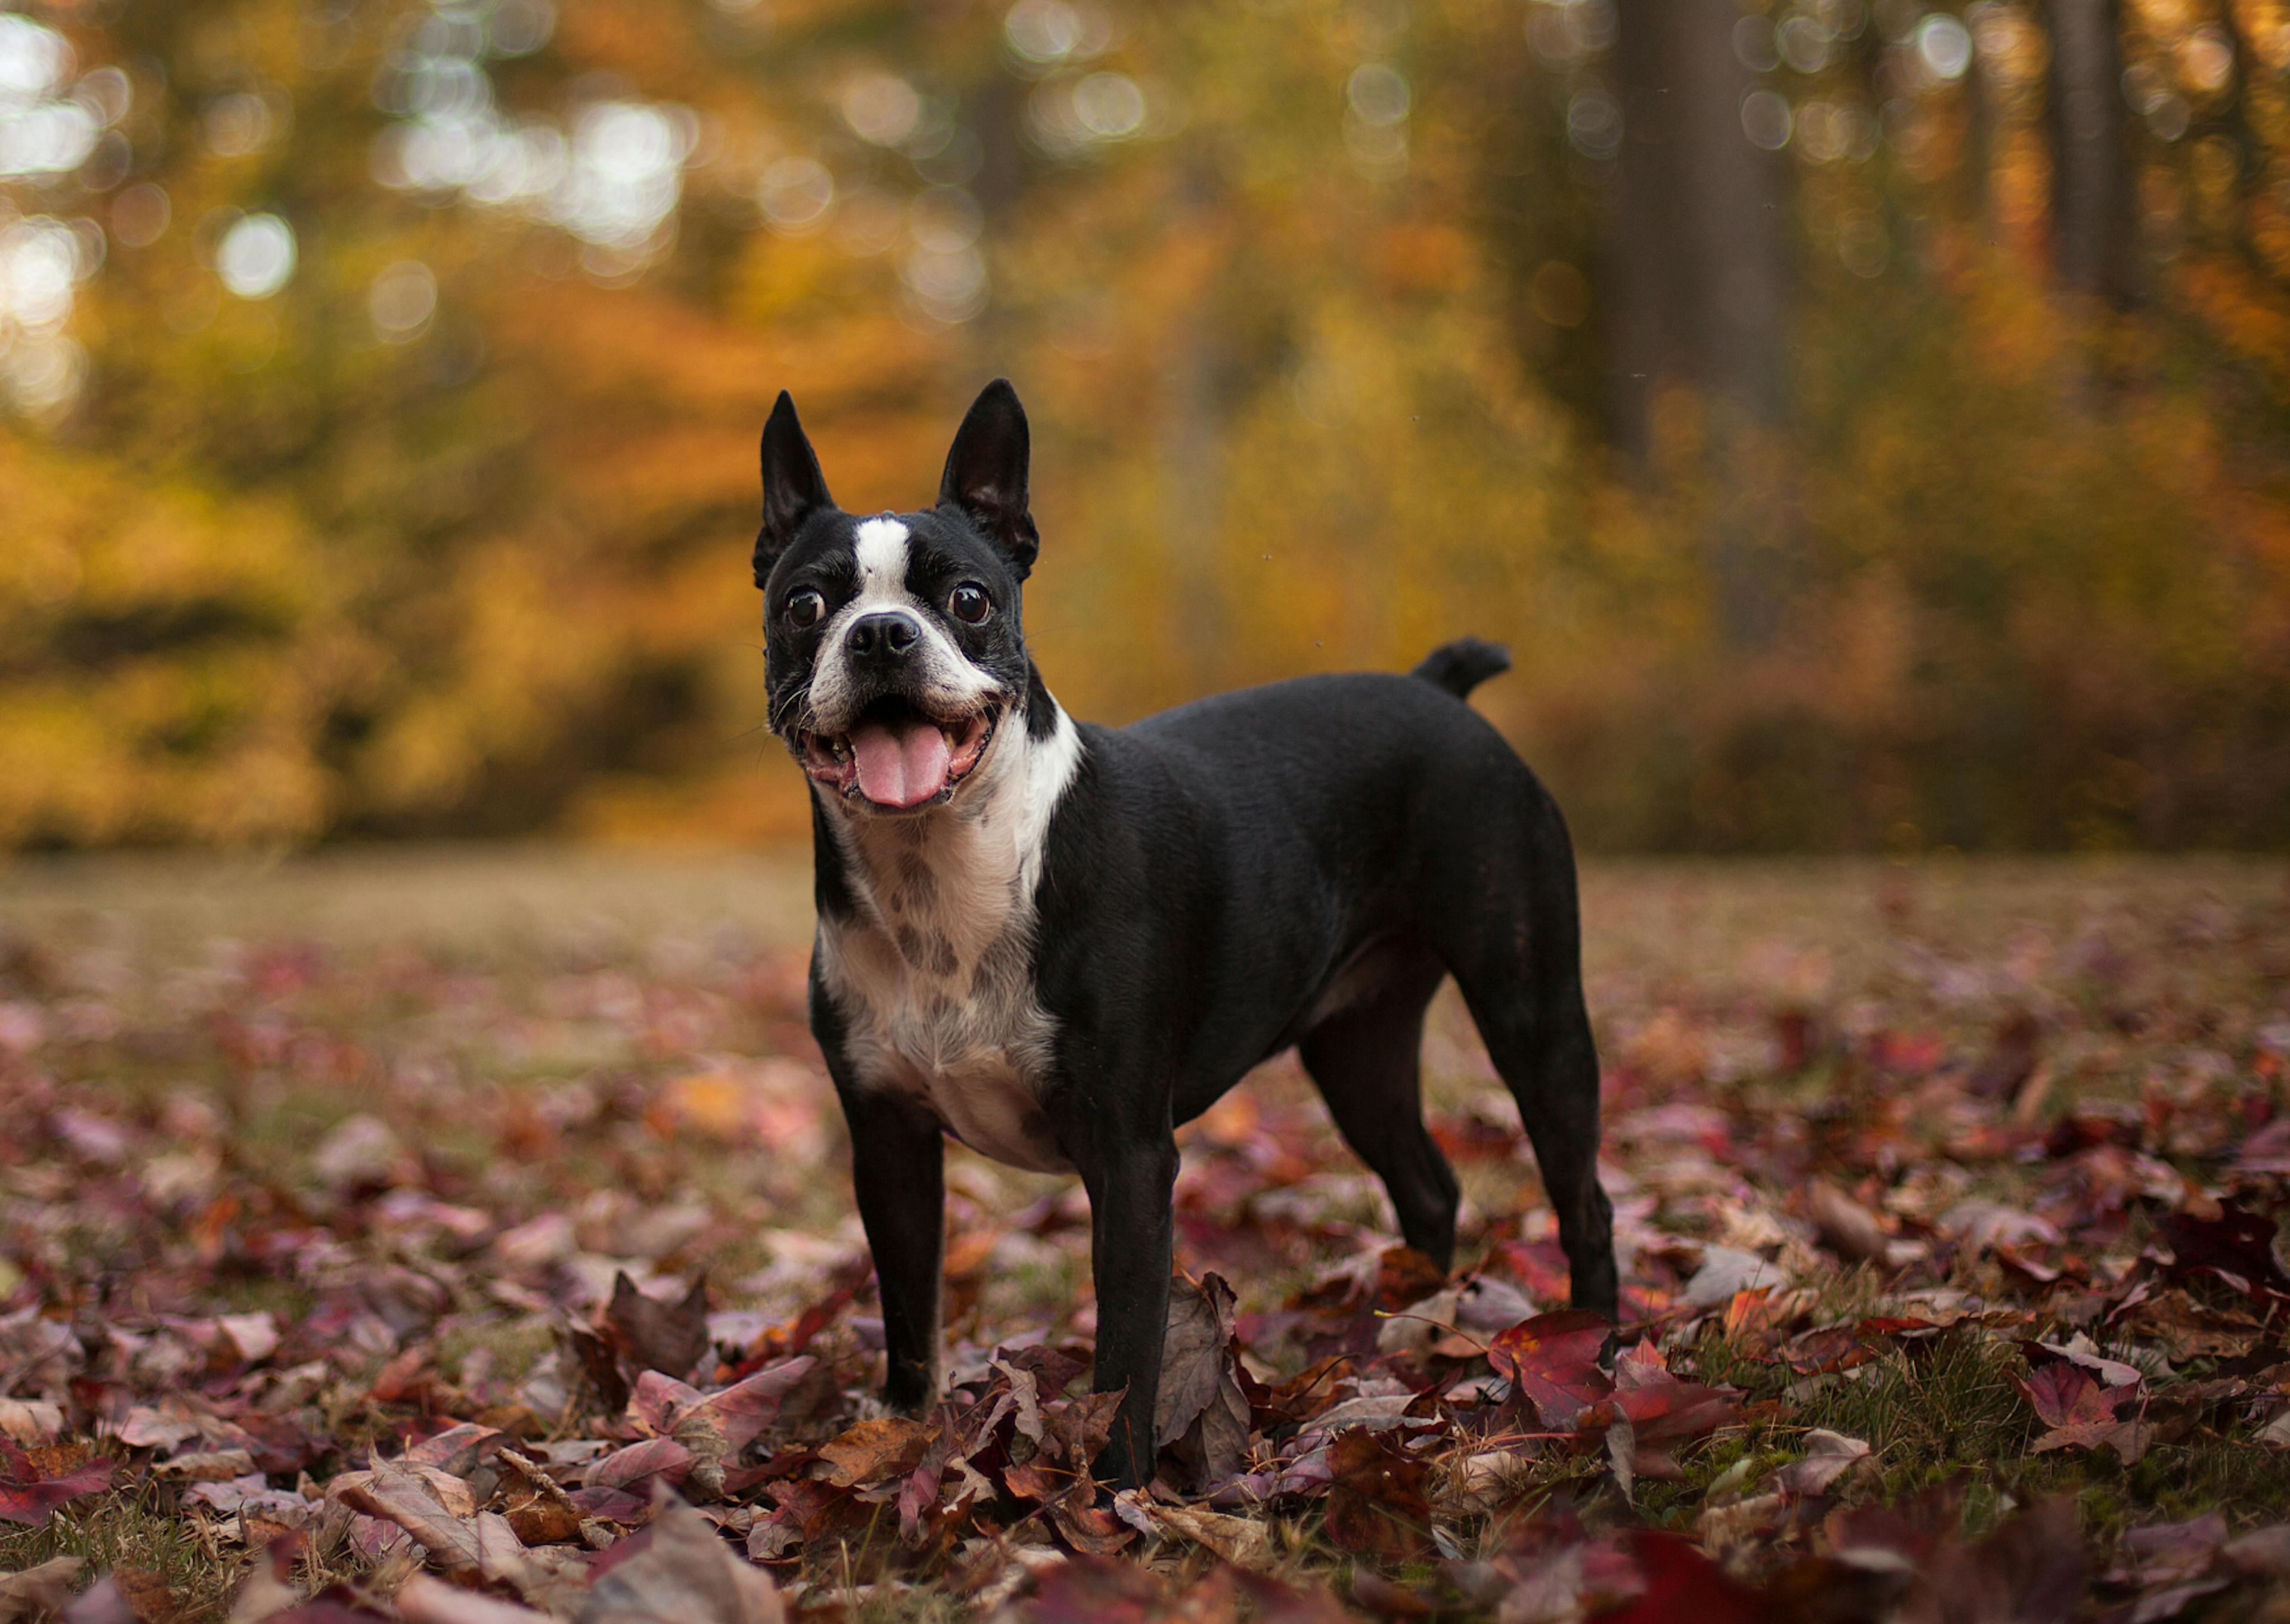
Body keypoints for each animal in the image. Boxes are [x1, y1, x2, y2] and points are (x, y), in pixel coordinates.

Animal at [760, 377, 1621, 1484]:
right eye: (806, 606)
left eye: (968, 599)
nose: (880, 635)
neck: (942, 880)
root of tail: (1435, 688)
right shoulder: (889, 1145)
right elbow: (912, 1319)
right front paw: (900, 1443)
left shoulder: (1130, 1158)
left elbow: (1127, 1351)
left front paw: (1113, 1493)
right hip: (1358, 1045)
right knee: (1426, 1184)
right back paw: (1398, 1334)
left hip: (1530, 1006)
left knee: (1580, 1189)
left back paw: (1596, 1352)